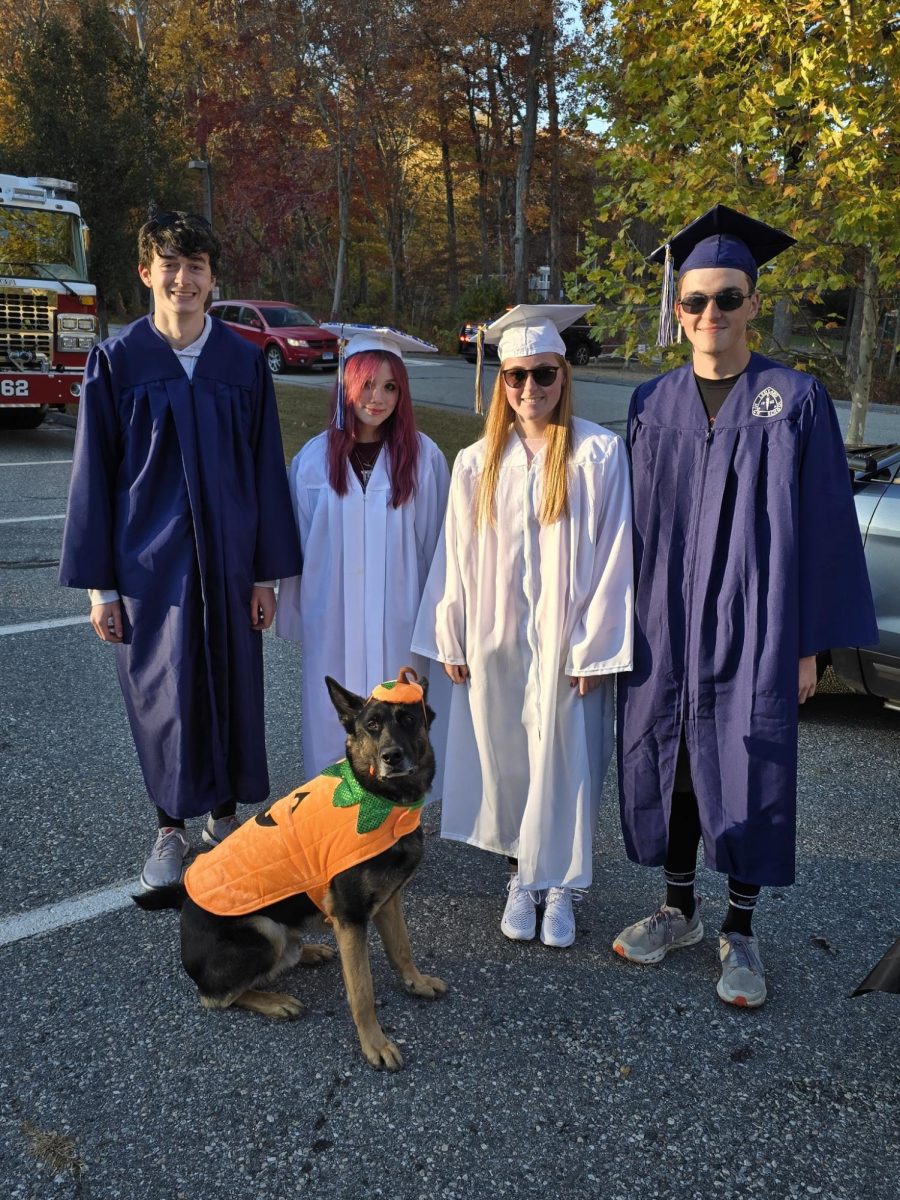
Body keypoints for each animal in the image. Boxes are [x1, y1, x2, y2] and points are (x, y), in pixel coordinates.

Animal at [133, 676, 448, 1070]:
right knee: (215, 996)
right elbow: (361, 989)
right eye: (372, 725)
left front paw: (415, 982)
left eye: (408, 719)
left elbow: (401, 949)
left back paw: (307, 950)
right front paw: (374, 1043)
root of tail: (185, 903)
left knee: (282, 955)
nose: (392, 757)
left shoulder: (388, 902)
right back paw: (275, 1000)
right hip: (262, 930)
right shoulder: (351, 918)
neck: (378, 798)